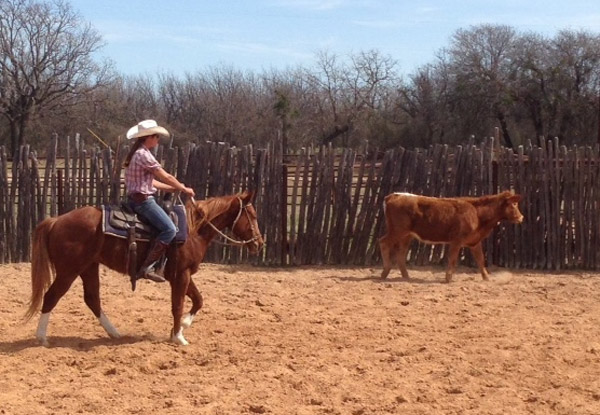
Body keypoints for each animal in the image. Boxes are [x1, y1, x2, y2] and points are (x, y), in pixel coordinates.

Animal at [25, 190, 264, 346]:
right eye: (252, 215)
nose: (259, 243)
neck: (193, 230)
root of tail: (55, 220)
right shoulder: (181, 275)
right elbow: (178, 305)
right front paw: (179, 337)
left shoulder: (182, 274)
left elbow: (198, 300)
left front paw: (183, 325)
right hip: (69, 270)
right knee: (51, 296)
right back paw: (41, 337)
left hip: (88, 267)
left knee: (92, 299)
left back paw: (115, 333)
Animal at [379, 191, 524, 283]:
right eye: (514, 204)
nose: (521, 217)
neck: (477, 213)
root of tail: (393, 195)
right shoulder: (456, 241)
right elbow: (453, 259)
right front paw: (448, 278)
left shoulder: (475, 242)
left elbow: (480, 260)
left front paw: (487, 278)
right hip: (397, 231)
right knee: (383, 242)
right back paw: (385, 271)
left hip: (407, 235)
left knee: (401, 253)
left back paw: (406, 276)